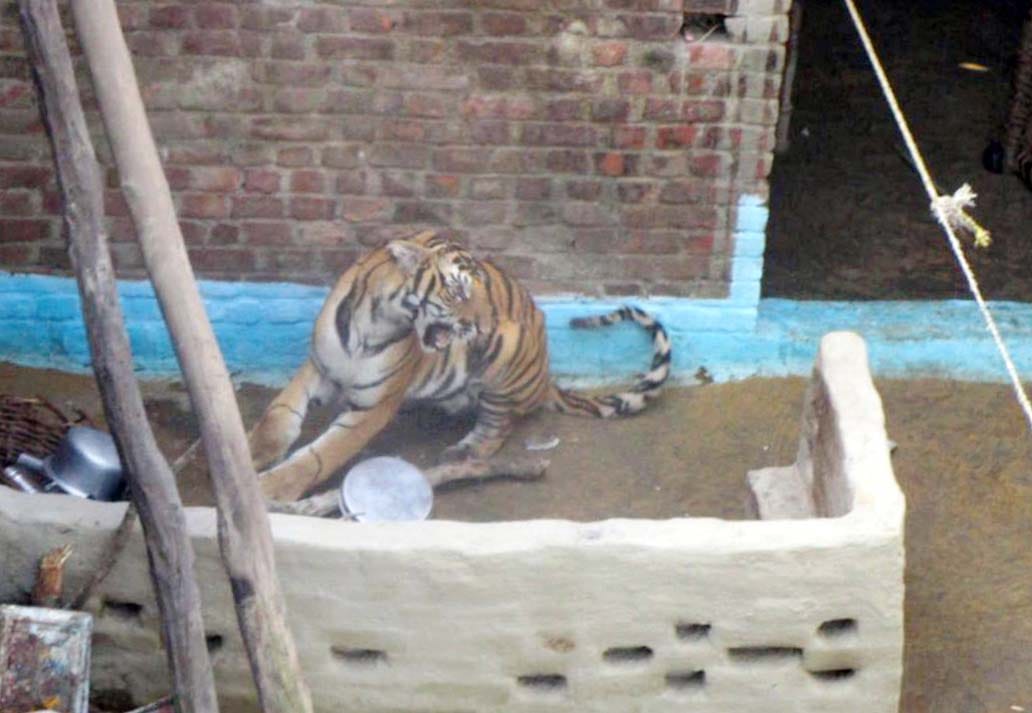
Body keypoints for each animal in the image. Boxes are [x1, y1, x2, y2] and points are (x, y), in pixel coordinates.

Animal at [252, 230, 672, 502]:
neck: (370, 323)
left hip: (505, 357)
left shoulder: (373, 407)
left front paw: (270, 489)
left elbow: (319, 457)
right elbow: (279, 414)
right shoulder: (319, 366)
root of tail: (546, 377)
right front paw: (256, 453)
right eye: (457, 291)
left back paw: (463, 452)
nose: (485, 325)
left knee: (497, 428)